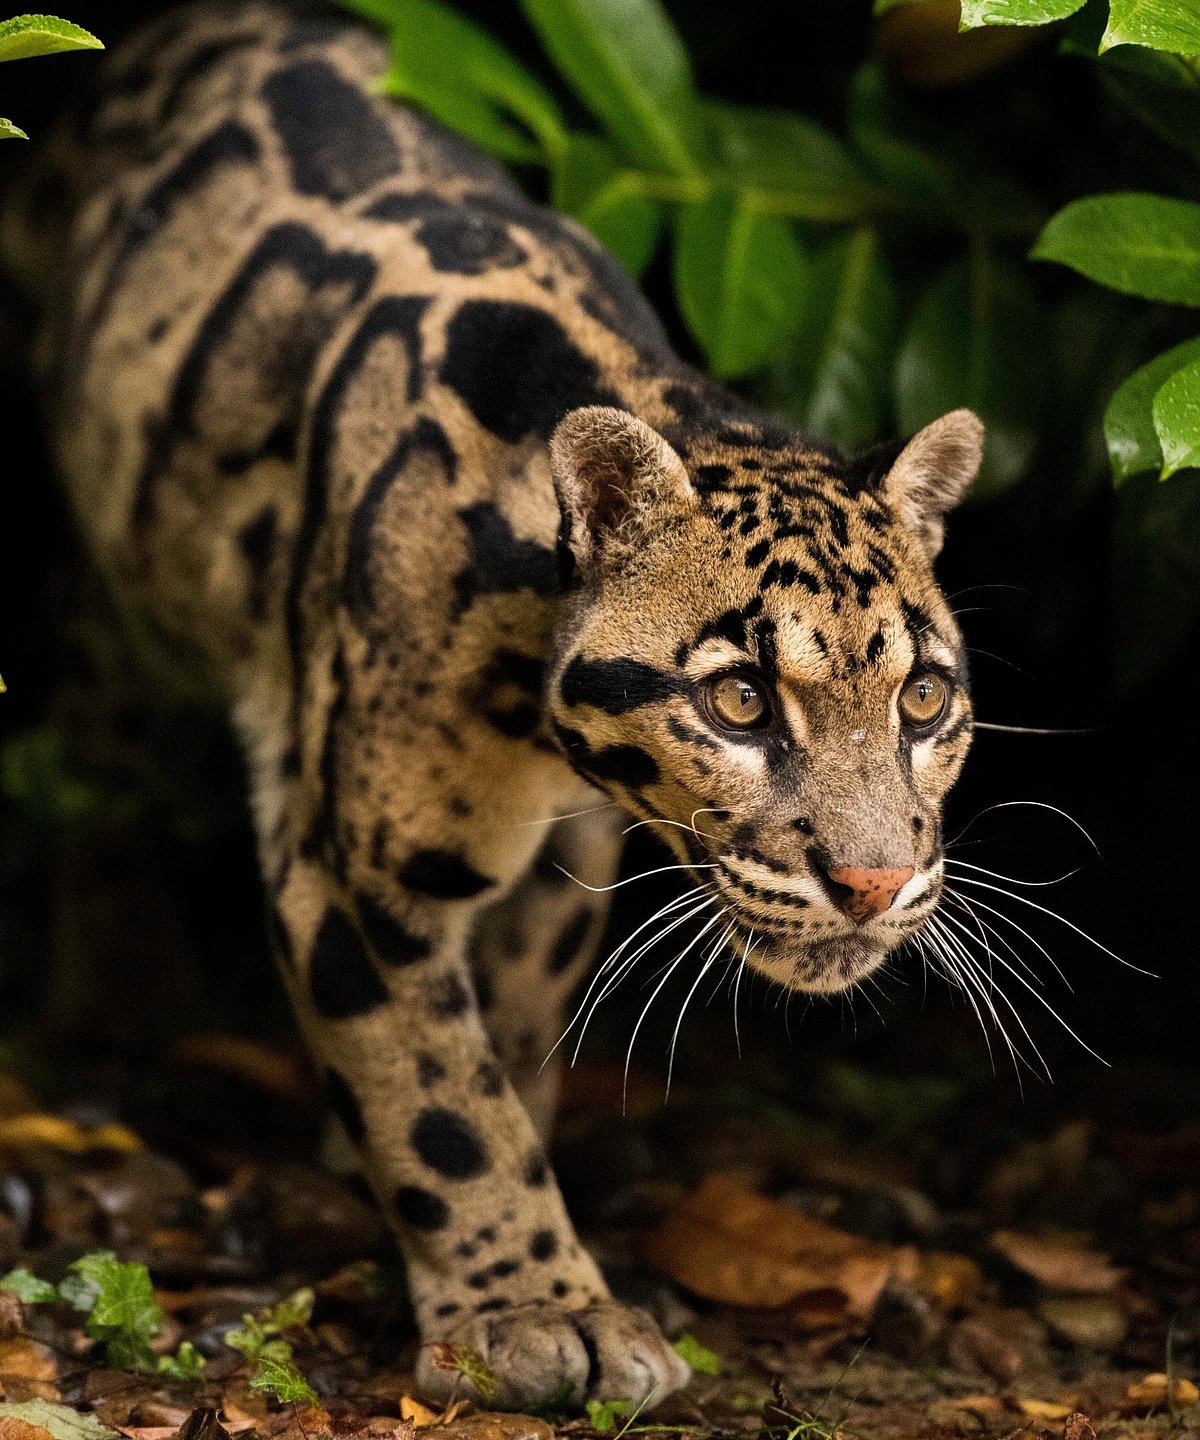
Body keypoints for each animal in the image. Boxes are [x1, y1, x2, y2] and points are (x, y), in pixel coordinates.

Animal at [2, 0, 983, 1411]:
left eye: (922, 698)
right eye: (740, 701)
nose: (875, 883)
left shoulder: (563, 850)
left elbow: (501, 1040)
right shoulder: (352, 865)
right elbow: (441, 1096)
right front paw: (535, 1308)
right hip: (120, 580)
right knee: (94, 732)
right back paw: (122, 978)